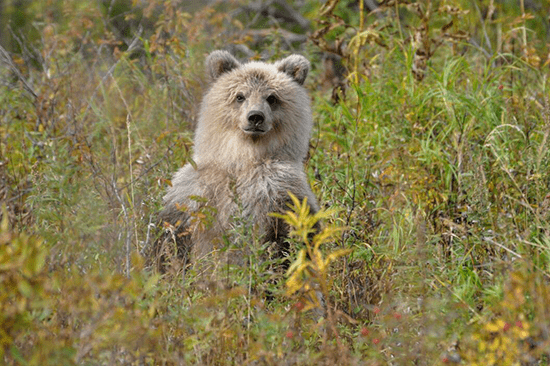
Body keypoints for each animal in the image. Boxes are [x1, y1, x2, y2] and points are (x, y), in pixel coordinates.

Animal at [154, 50, 320, 276]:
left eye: (272, 97)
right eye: (240, 96)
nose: (255, 117)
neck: (243, 158)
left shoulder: (282, 190)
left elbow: (293, 235)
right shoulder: (191, 194)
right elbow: (171, 240)